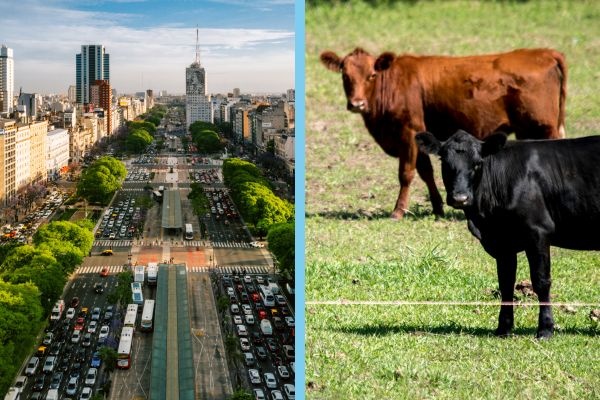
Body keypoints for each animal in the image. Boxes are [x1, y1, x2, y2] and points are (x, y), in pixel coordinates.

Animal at [322, 49, 564, 222]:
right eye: (345, 76)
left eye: (372, 75)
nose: (357, 104)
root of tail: (545, 52)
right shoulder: (419, 137)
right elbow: (426, 171)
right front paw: (438, 208)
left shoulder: (407, 132)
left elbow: (406, 173)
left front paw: (398, 211)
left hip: (541, 128)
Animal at [414, 130, 600, 338]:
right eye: (444, 162)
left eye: (477, 163)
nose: (460, 198)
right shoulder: (502, 242)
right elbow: (505, 283)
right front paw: (503, 328)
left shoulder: (538, 231)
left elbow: (541, 281)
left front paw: (545, 329)